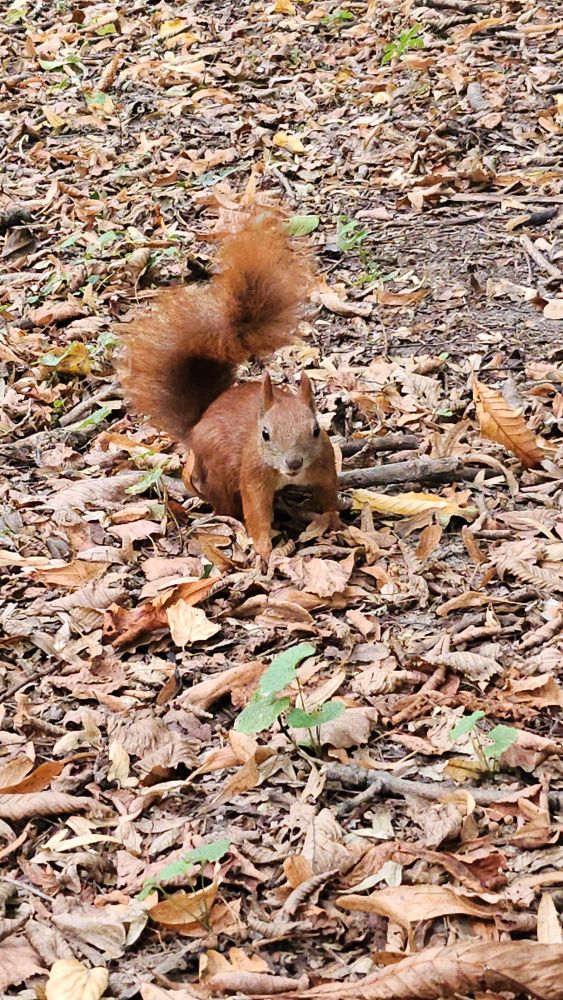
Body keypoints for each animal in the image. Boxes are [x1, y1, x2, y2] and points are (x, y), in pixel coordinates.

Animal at [118, 209, 339, 562]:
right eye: (265, 434)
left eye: (316, 429)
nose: (293, 463)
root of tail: (196, 427)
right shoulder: (253, 475)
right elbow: (256, 511)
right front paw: (264, 548)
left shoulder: (324, 463)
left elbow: (330, 494)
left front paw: (335, 520)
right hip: (219, 471)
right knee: (226, 505)